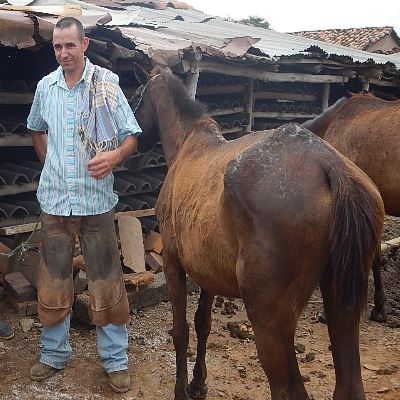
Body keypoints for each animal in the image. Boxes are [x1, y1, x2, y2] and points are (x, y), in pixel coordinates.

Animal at [131, 69, 384, 400]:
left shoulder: (174, 263)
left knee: (289, 389)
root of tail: (329, 165)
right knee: (350, 383)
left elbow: (181, 331)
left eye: (135, 96)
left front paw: (181, 390)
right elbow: (203, 323)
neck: (189, 143)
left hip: (269, 321)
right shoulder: (206, 273)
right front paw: (198, 384)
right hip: (341, 305)